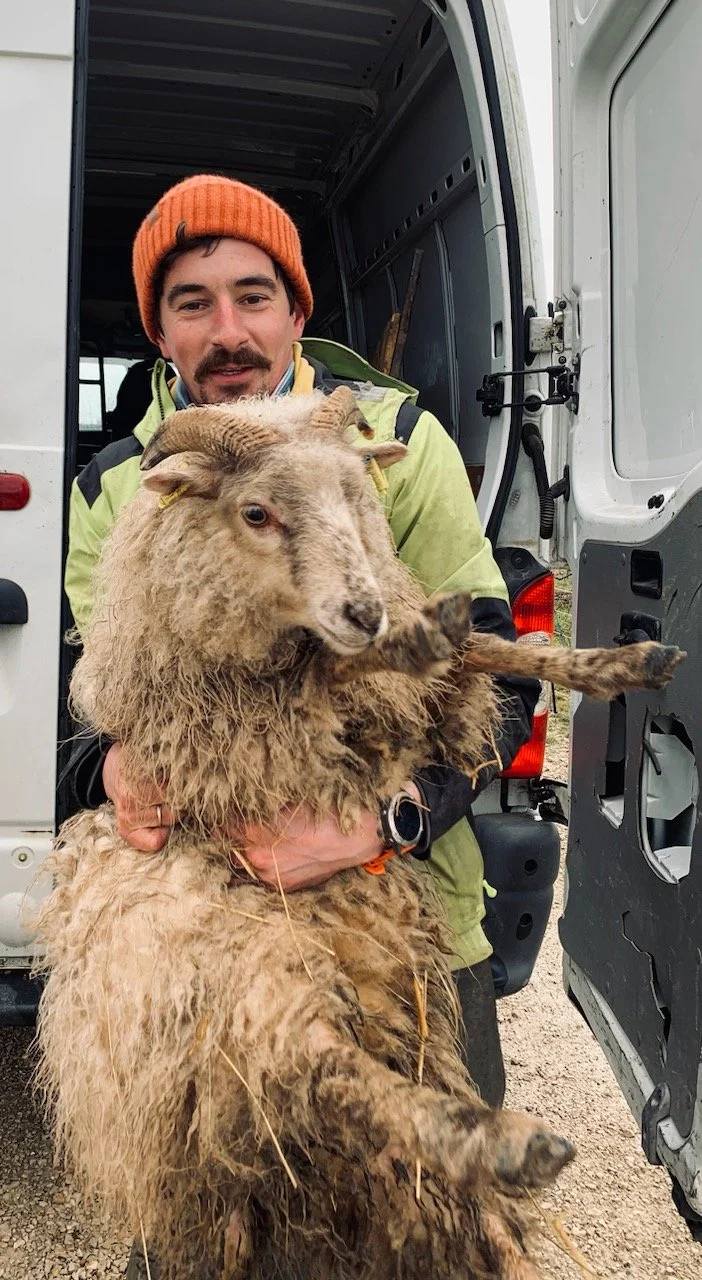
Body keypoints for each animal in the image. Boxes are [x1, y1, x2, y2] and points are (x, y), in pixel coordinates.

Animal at [35, 388, 684, 1280]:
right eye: (257, 511)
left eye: (357, 499)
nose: (366, 609)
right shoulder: (240, 710)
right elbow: (354, 663)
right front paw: (414, 636)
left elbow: (491, 646)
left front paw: (622, 664)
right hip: (228, 965)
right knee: (322, 1062)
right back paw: (501, 1145)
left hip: (381, 1002)